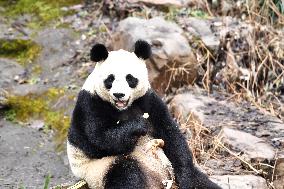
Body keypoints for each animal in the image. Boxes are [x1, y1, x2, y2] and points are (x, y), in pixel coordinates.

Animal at [67, 39, 222, 189]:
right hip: (101, 170)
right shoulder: (90, 104)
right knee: (127, 173)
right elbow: (100, 139)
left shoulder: (148, 100)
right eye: (110, 79)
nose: (119, 95)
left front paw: (186, 177)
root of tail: (160, 180)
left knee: (202, 182)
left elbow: (170, 134)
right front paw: (138, 125)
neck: (123, 108)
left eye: (130, 78)